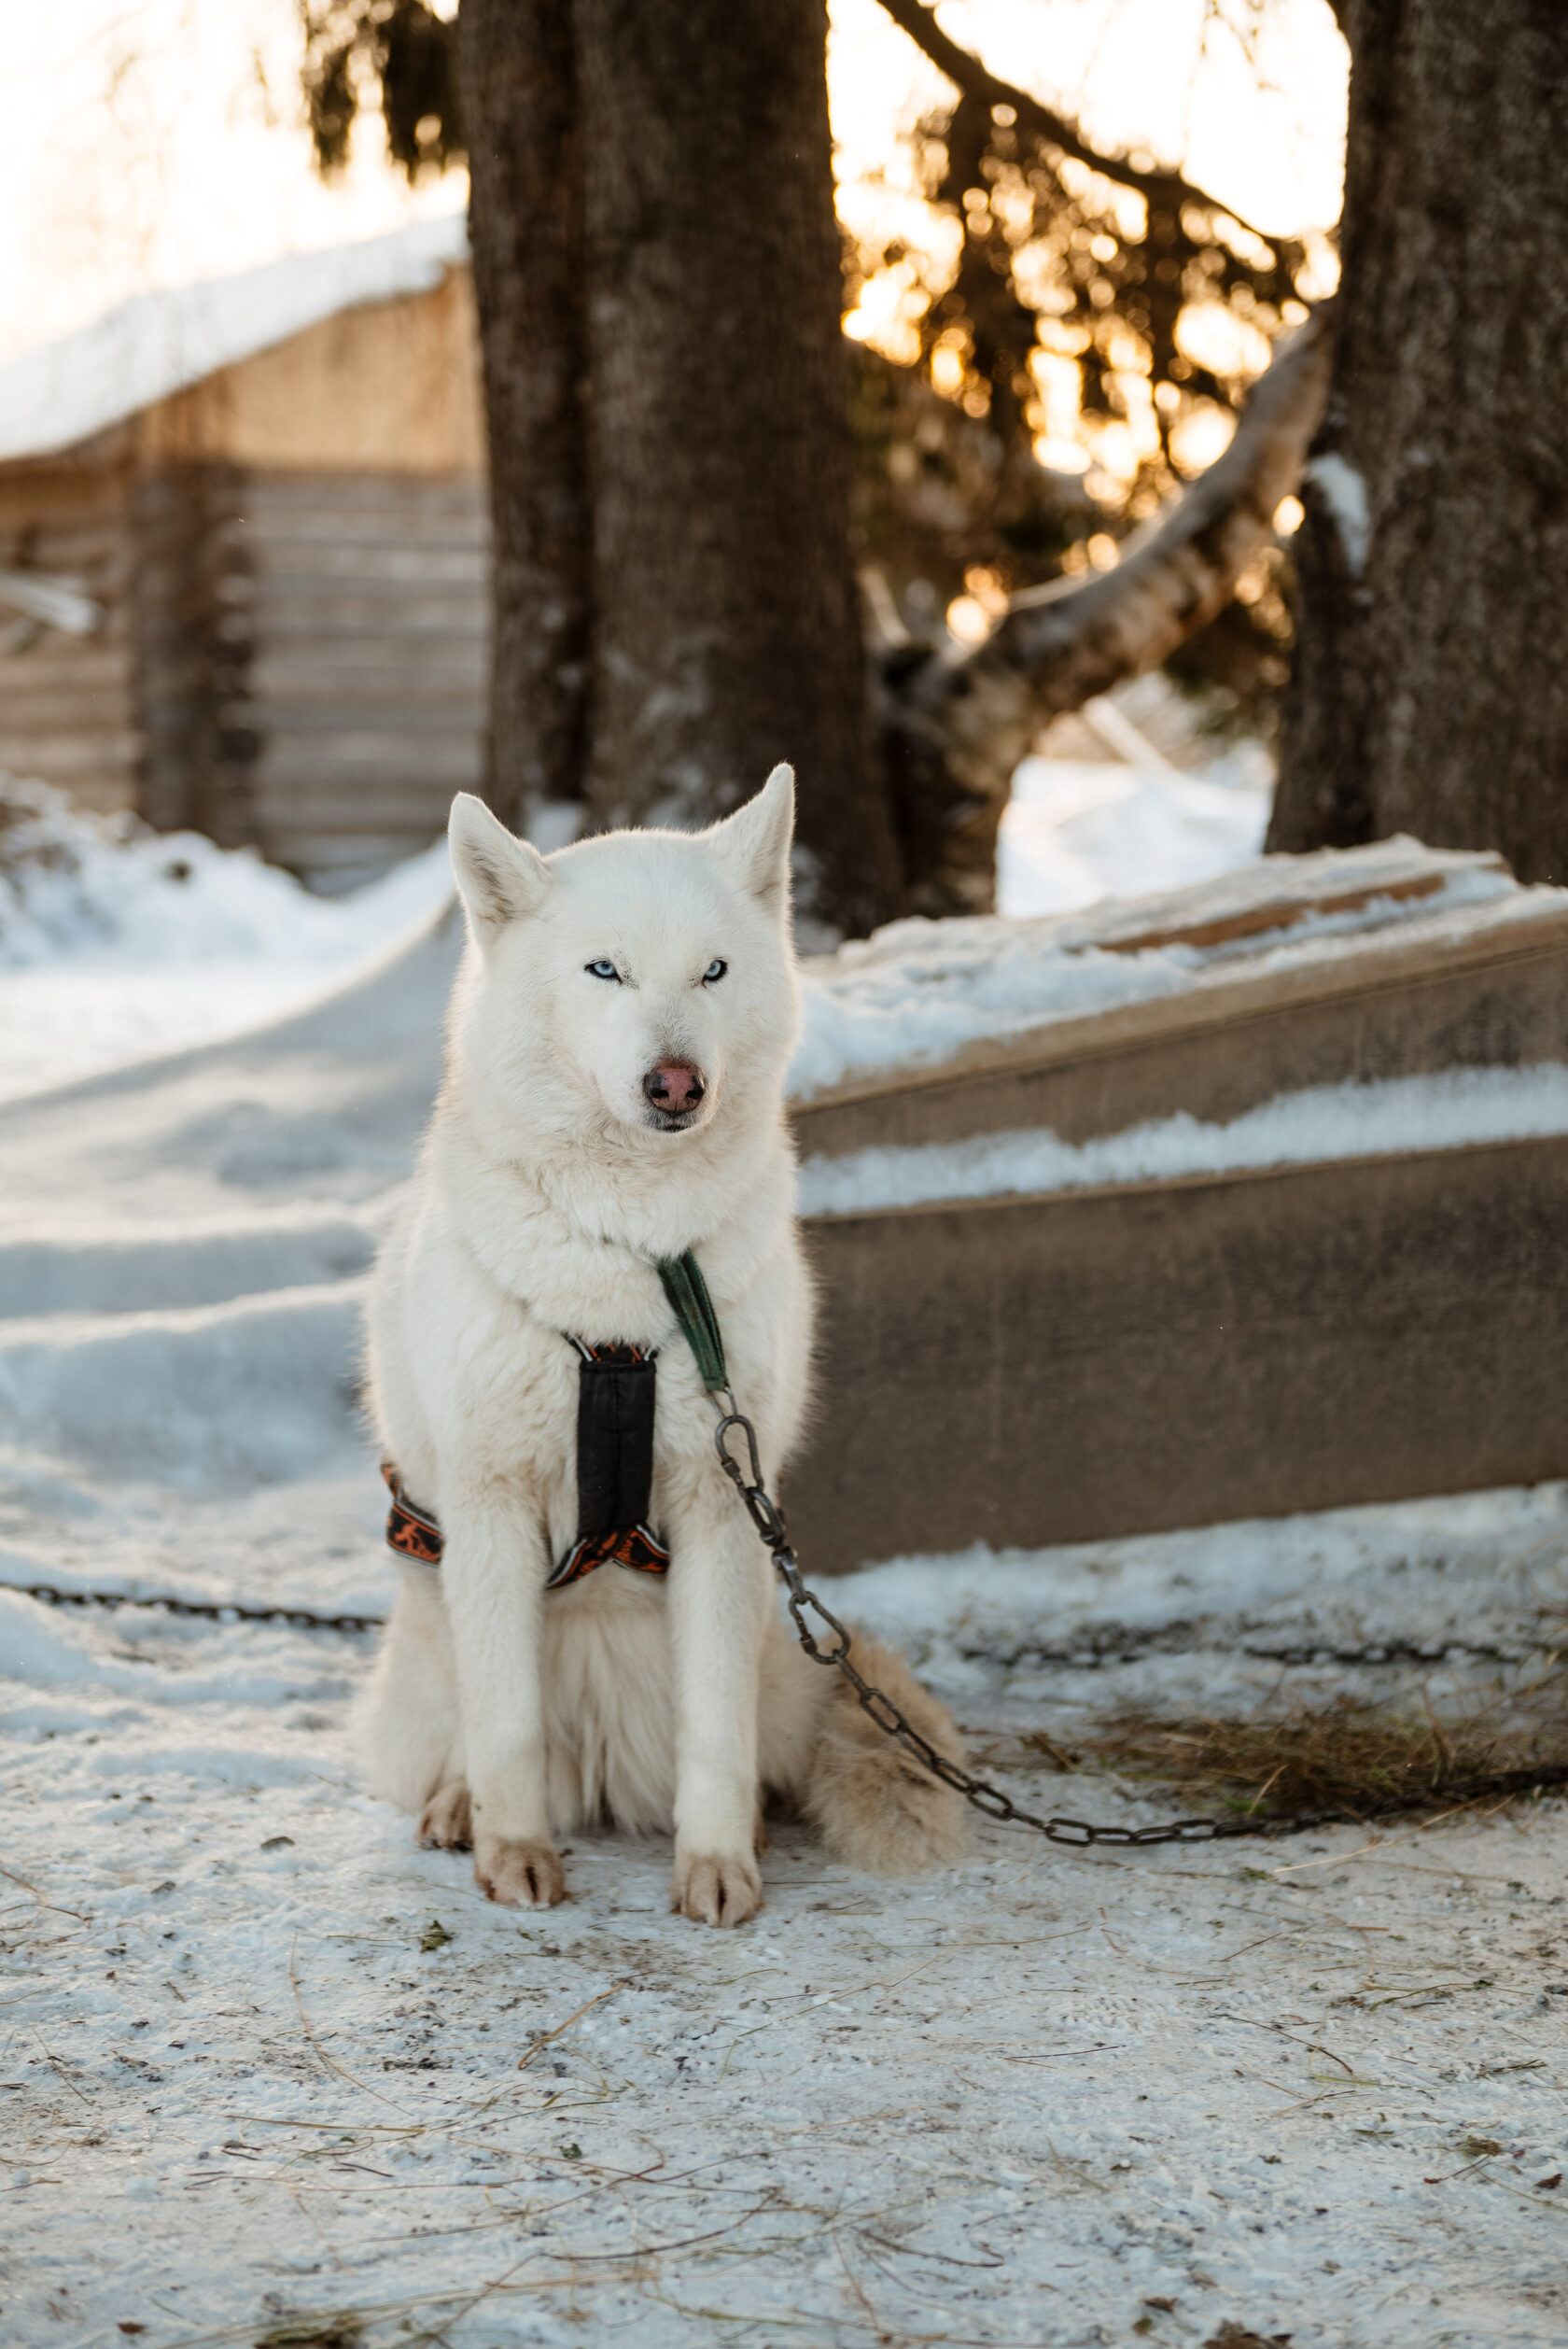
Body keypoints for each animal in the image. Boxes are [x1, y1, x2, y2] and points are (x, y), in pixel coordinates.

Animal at [358, 770, 962, 1926]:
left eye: (712, 971)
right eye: (606, 969)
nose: (676, 1082)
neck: (633, 1280)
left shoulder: (722, 1505)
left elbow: (714, 1732)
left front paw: (718, 1863)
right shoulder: (492, 1506)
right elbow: (505, 1722)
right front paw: (513, 1850)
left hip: (779, 1644)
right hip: (426, 1644)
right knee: (463, 1737)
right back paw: (458, 1807)